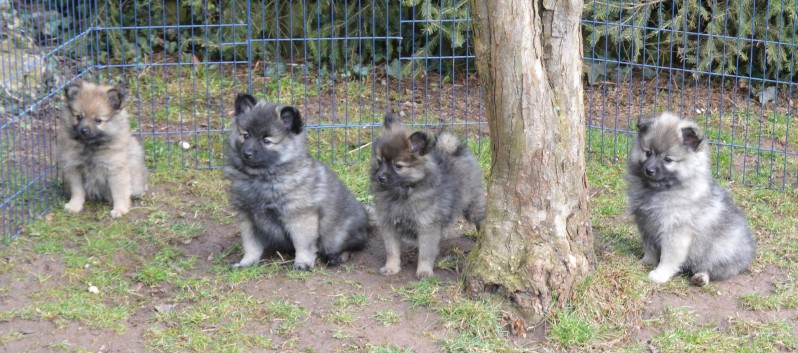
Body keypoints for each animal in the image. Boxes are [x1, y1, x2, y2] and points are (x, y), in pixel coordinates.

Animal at [58, 80, 150, 217]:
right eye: (79, 117)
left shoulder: (115, 170)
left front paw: (119, 209)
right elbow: (77, 191)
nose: (83, 130)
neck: (91, 146)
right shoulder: (74, 169)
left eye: (98, 120)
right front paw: (74, 206)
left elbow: (119, 193)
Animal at [223, 93, 370, 270]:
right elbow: (250, 245)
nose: (247, 153)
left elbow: (303, 244)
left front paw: (302, 263)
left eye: (266, 141)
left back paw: (336, 257)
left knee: (353, 245)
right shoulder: (247, 218)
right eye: (245, 135)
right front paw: (246, 262)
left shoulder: (299, 217)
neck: (261, 178)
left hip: (335, 236)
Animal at [370, 113, 488, 278]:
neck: (403, 191)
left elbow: (426, 252)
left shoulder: (426, 226)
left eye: (398, 166)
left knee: (481, 219)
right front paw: (391, 267)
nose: (380, 177)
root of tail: (454, 150)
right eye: (380, 162)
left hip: (473, 205)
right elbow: (391, 250)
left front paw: (424, 271)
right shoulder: (388, 224)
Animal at [632, 111, 756, 284]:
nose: (649, 170)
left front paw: (660, 274)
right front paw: (646, 261)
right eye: (648, 152)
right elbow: (650, 248)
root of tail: (749, 250)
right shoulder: (646, 224)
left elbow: (668, 257)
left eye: (668, 159)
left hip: (718, 253)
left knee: (711, 268)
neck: (662, 189)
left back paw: (701, 278)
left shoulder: (675, 231)